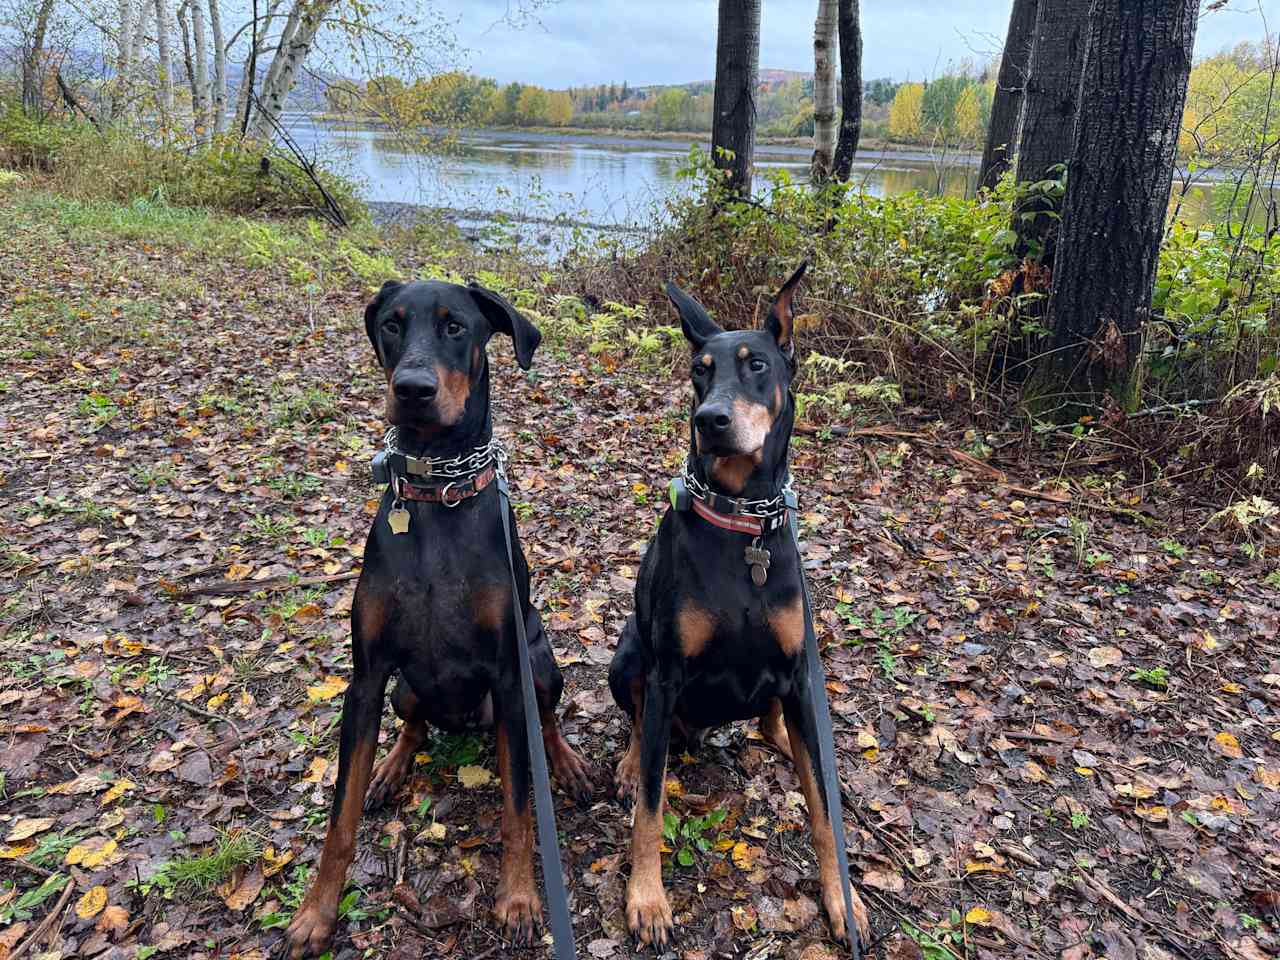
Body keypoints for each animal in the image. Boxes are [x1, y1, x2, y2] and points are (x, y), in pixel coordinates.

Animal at [282, 280, 591, 960]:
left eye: (456, 327)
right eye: (393, 325)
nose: (413, 389)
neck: (434, 493)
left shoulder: (509, 674)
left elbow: (519, 806)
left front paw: (519, 900)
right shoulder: (368, 676)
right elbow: (339, 816)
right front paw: (316, 913)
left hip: (539, 659)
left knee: (545, 719)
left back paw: (566, 762)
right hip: (403, 687)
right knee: (415, 723)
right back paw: (391, 767)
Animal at [606, 267, 870, 952]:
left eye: (756, 365)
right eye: (699, 370)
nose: (711, 419)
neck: (742, 521)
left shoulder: (802, 672)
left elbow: (823, 808)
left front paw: (844, 899)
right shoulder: (667, 673)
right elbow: (650, 807)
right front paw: (647, 899)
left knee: (774, 718)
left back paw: (778, 738)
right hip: (627, 655)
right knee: (638, 720)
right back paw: (628, 761)